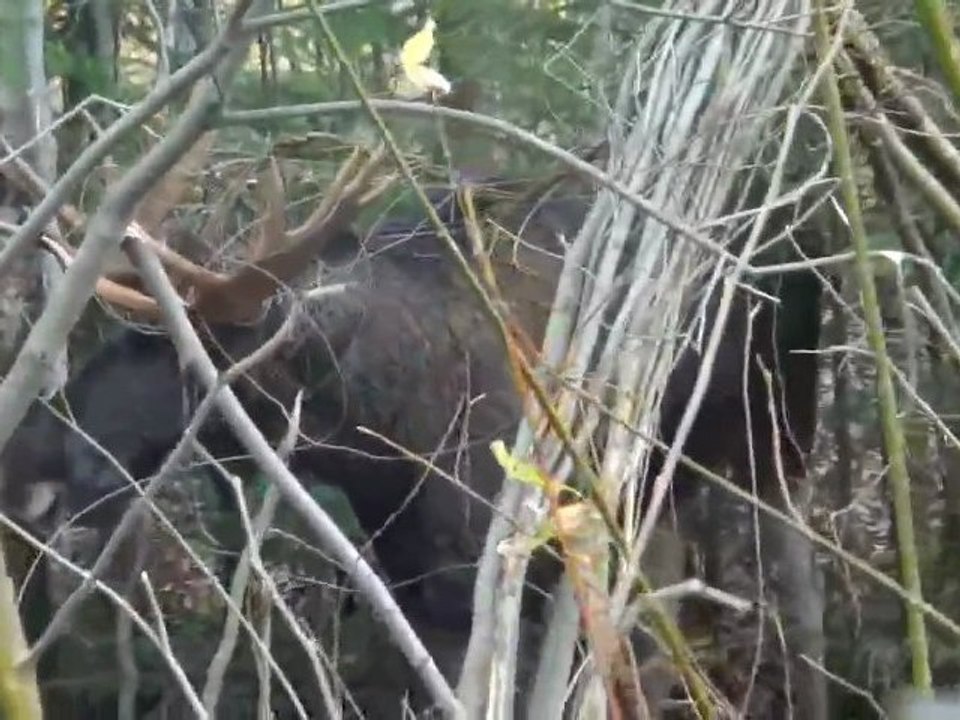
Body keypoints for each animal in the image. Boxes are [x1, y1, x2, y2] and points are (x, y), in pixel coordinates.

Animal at [0, 137, 824, 717]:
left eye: (180, 351)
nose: (26, 460)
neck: (376, 441)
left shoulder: (538, 558)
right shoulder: (421, 583)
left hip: (779, 442)